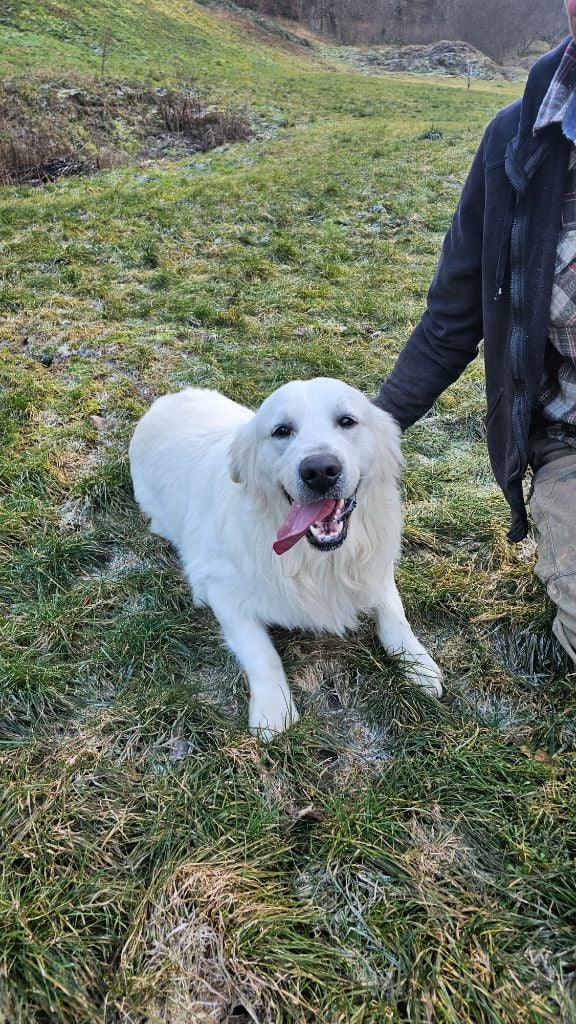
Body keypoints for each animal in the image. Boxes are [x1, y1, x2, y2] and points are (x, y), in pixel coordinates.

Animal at [127, 376, 438, 737]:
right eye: (281, 430)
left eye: (346, 421)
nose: (320, 470)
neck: (316, 560)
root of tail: (164, 402)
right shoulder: (226, 594)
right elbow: (262, 653)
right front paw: (274, 710)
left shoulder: (375, 568)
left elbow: (394, 616)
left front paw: (418, 664)